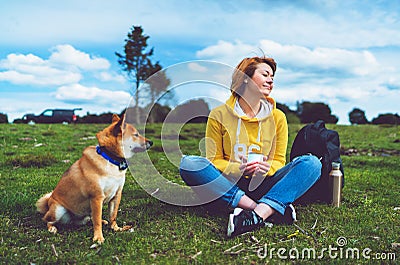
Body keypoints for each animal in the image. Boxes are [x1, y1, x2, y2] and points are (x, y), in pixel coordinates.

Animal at [36, 113, 152, 243]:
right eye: (136, 135)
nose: (151, 142)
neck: (110, 158)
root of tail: (49, 201)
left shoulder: (116, 195)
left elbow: (113, 216)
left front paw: (116, 228)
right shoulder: (97, 197)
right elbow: (97, 221)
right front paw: (98, 237)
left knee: (90, 218)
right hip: (57, 210)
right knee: (46, 220)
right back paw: (52, 228)